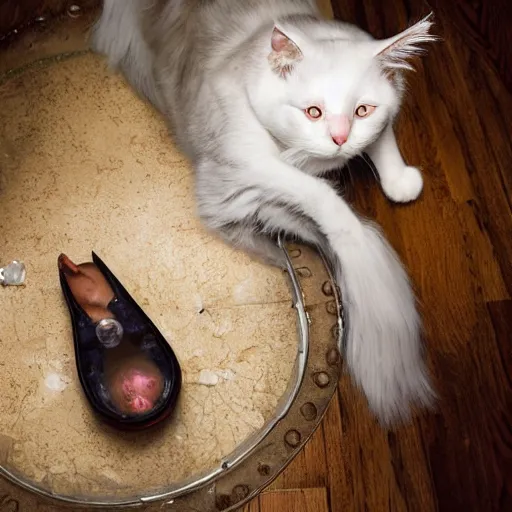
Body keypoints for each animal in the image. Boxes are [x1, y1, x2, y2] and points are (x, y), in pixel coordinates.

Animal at [91, 0, 436, 426]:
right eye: (313, 112)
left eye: (362, 110)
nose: (339, 139)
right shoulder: (241, 171)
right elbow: (325, 203)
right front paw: (358, 256)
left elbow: (381, 142)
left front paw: (399, 181)